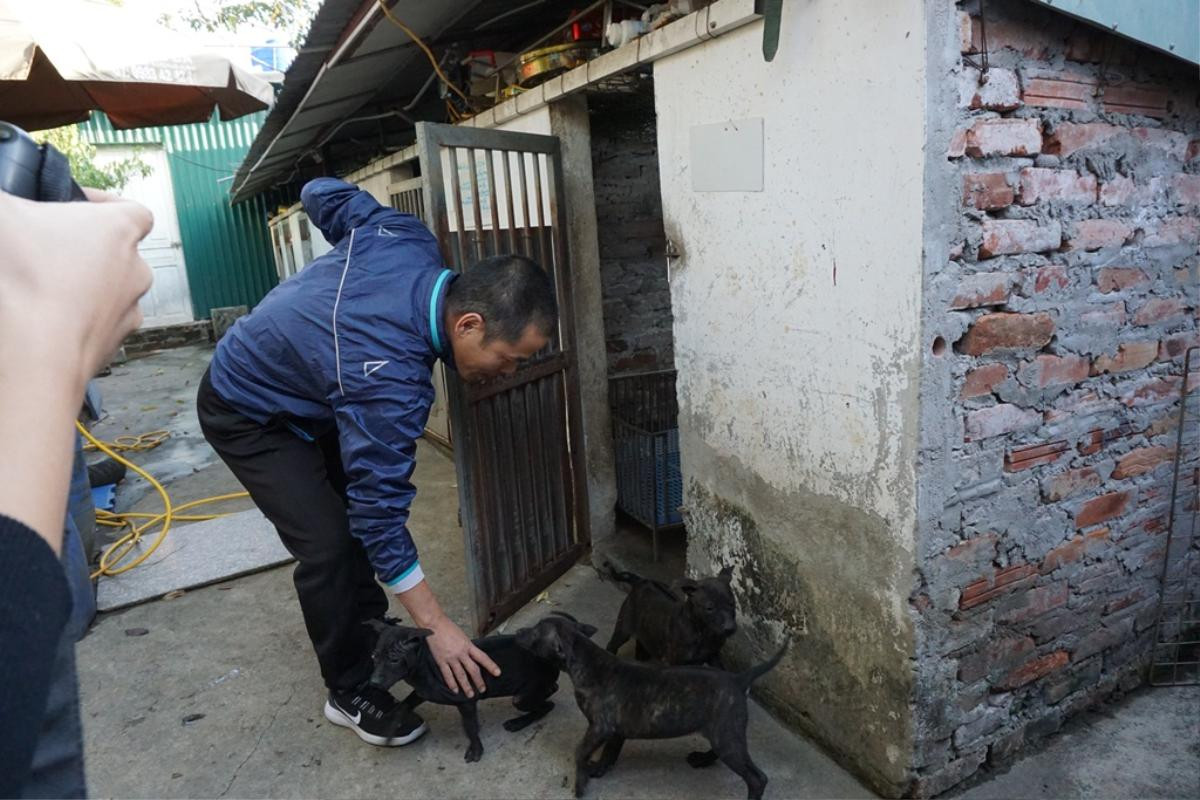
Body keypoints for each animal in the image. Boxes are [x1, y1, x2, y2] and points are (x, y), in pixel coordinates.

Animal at [362, 618, 559, 762]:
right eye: (373, 656)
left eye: (394, 660)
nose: (373, 683)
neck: (424, 664)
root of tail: (550, 661)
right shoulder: (421, 692)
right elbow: (404, 705)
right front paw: (389, 726)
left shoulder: (466, 700)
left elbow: (470, 727)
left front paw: (476, 749)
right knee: (551, 692)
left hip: (521, 698)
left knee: (547, 705)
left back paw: (518, 723)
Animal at [513, 618, 787, 796]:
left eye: (535, 633)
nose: (517, 632)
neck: (584, 660)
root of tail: (739, 678)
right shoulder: (615, 731)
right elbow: (609, 754)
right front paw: (599, 770)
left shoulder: (599, 728)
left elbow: (580, 751)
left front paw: (580, 785)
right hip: (723, 733)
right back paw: (702, 759)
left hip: (727, 736)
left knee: (757, 778)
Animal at [609, 561, 739, 666]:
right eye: (709, 608)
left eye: (732, 604)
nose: (730, 628)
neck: (702, 632)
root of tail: (641, 581)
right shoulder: (675, 661)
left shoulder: (714, 656)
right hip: (623, 627)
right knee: (612, 644)